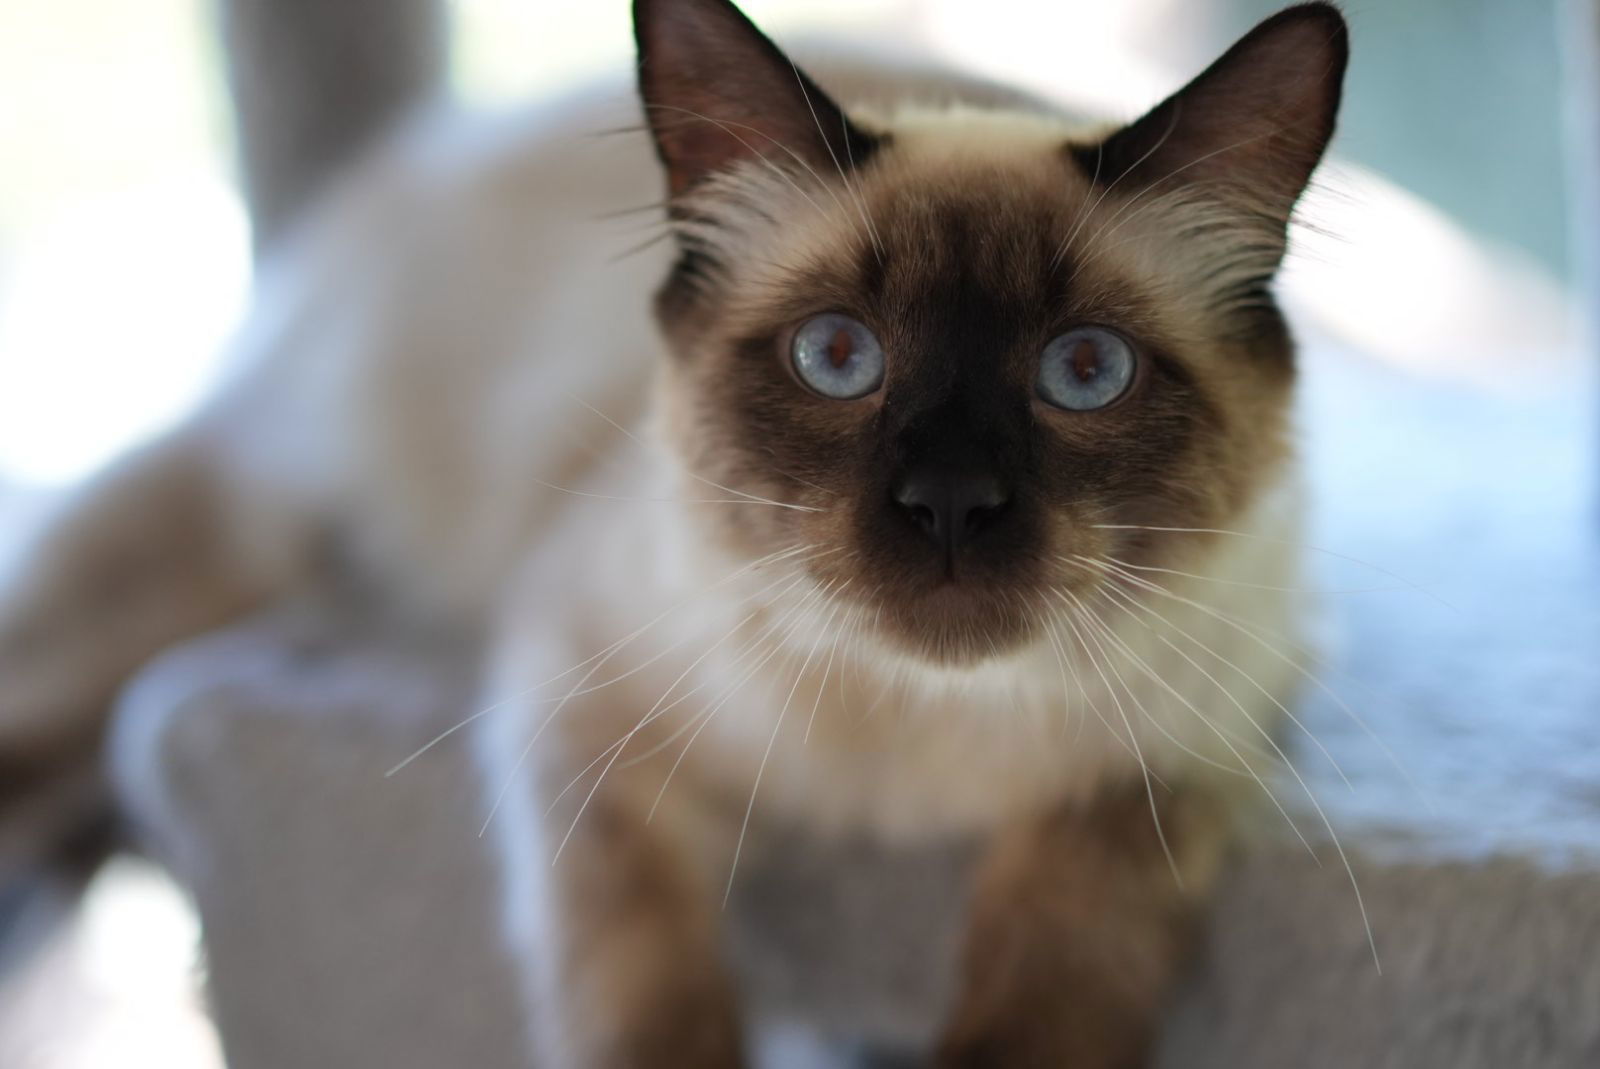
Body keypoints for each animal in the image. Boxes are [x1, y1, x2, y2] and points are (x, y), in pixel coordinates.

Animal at [0, 0, 1350, 1062]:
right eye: (837, 358)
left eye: (1083, 372)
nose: (950, 506)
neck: (914, 758)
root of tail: (401, 165)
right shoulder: (582, 715)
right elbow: (643, 985)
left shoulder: (1169, 761)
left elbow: (1064, 964)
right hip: (242, 541)